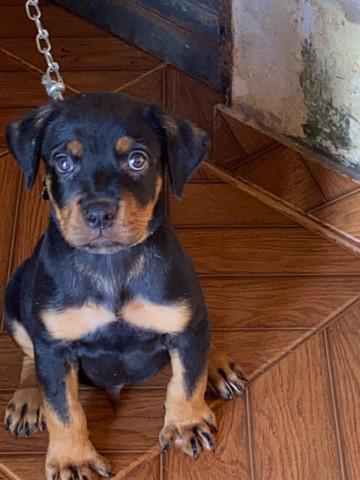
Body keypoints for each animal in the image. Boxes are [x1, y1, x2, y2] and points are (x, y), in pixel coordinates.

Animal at [3, 92, 245, 478]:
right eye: (63, 162)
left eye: (137, 160)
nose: (98, 213)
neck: (111, 265)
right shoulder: (54, 348)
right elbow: (63, 409)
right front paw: (73, 459)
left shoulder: (183, 320)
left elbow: (187, 379)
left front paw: (186, 423)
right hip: (15, 294)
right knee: (29, 351)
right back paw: (29, 395)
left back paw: (216, 363)